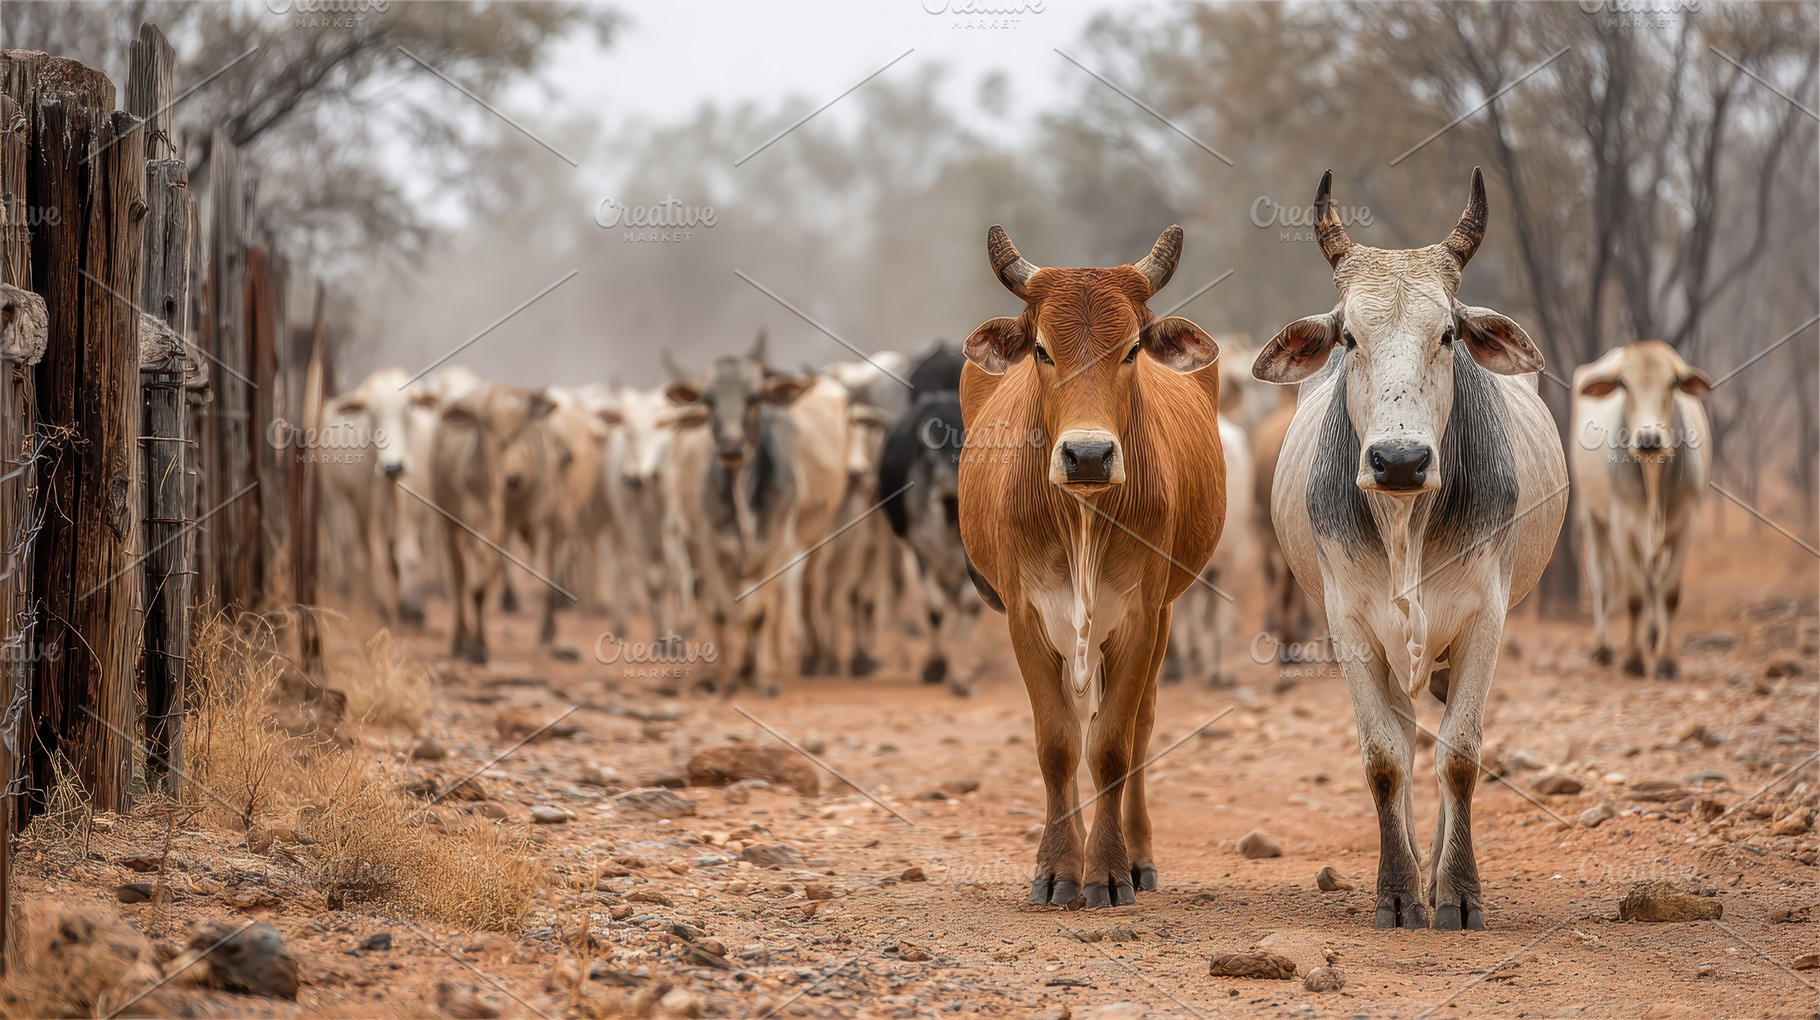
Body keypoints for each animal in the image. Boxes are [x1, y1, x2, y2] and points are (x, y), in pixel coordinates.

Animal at [662, 336, 816, 695]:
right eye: (709, 401)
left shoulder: (776, 549)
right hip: (688, 547)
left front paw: (763, 678)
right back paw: (711, 672)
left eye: (754, 397)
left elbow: (759, 614)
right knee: (704, 604)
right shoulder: (708, 550)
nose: (732, 447)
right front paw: (723, 678)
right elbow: (719, 612)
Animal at [879, 342, 983, 695]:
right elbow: (935, 607)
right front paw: (935, 666)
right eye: (933, 456)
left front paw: (963, 676)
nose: (949, 488)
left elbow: (970, 604)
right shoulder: (922, 550)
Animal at [958, 224, 1225, 908]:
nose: (1086, 454)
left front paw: (1107, 869)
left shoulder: (1141, 615)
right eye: (1042, 351)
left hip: (1159, 619)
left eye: (1131, 350)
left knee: (1137, 729)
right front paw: (1058, 868)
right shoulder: (1025, 615)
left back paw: (1138, 856)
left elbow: (1111, 748)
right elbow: (1057, 744)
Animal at [1253, 169, 1567, 930]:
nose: (1399, 460)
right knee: (1403, 733)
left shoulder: (1485, 618)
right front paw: (1397, 891)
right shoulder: (1349, 625)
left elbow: (1459, 754)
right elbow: (1385, 758)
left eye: (1448, 333)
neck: (1406, 525)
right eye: (1349, 337)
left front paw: (1455, 892)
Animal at [1571, 341, 1712, 678]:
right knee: (1601, 578)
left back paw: (1652, 635)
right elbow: (1633, 597)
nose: (1649, 439)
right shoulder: (1622, 525)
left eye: (1673, 382)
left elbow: (1669, 594)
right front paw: (1633, 660)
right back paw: (1603, 648)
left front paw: (1666, 660)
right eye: (1624, 383)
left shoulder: (1687, 523)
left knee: (1654, 579)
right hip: (1590, 514)